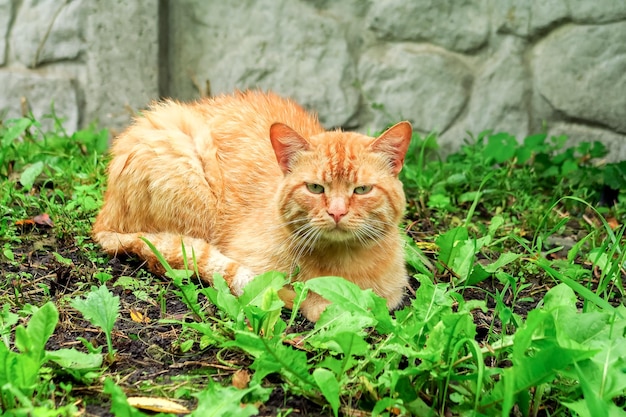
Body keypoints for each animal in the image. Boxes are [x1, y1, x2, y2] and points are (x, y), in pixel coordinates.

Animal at [92, 89, 412, 320]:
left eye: (362, 189)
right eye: (315, 188)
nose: (336, 212)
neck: (342, 265)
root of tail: (102, 215)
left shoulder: (392, 295)